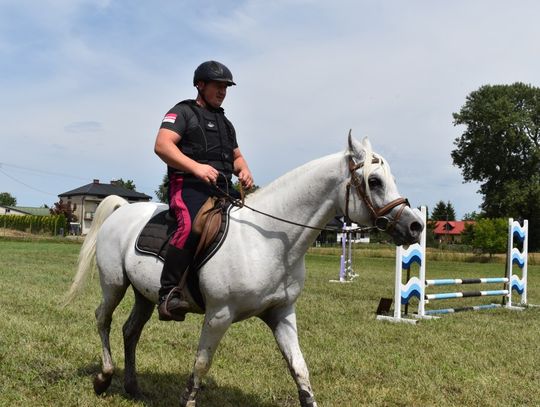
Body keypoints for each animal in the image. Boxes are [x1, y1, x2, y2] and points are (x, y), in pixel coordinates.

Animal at [67, 135, 424, 406]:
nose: (415, 226)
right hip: (114, 284)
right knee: (103, 319)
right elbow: (201, 365)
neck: (267, 241)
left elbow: (300, 369)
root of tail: (123, 210)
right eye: (374, 181)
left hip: (144, 294)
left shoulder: (282, 314)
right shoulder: (218, 315)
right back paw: (103, 378)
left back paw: (133, 387)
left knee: (131, 330)